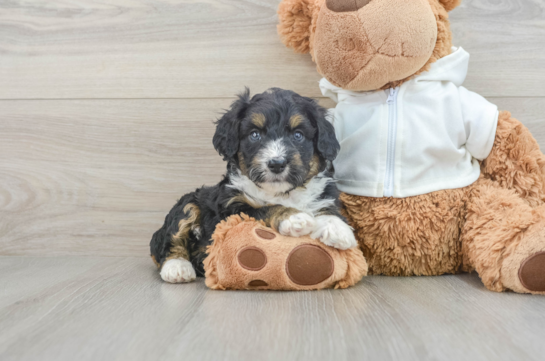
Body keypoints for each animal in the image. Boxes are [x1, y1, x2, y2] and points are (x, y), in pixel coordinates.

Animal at [151, 87, 360, 282]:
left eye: (298, 135)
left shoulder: (324, 193)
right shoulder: (230, 211)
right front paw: (293, 218)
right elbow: (263, 209)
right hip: (188, 203)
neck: (281, 193)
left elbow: (326, 208)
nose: (277, 164)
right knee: (169, 239)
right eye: (255, 135)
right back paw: (177, 268)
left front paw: (338, 229)